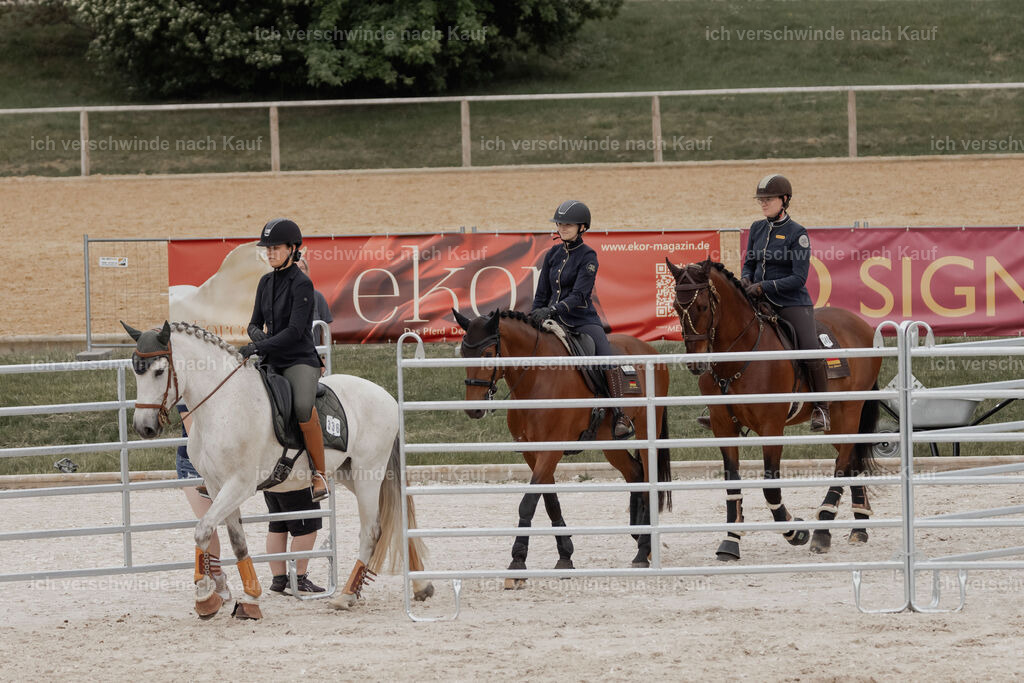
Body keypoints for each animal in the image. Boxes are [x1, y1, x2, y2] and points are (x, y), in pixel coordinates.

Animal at [123, 320, 433, 619]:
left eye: (159, 371)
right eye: (135, 372)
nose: (143, 427)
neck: (224, 404)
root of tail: (386, 396)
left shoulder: (239, 485)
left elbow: (203, 531)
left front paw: (205, 599)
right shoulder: (215, 485)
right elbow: (237, 542)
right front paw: (249, 600)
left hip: (369, 472)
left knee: (371, 530)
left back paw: (346, 597)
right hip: (351, 475)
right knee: (398, 516)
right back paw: (419, 585)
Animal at [453, 309, 671, 585]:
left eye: (488, 354)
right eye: (463, 353)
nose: (474, 409)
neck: (537, 379)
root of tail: (648, 348)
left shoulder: (551, 449)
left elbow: (528, 502)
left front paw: (517, 561)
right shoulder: (532, 453)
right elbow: (549, 501)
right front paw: (565, 556)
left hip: (645, 429)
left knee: (648, 479)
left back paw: (642, 551)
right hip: (609, 441)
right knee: (634, 473)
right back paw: (641, 538)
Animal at [665, 259, 881, 560]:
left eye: (703, 307)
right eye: (676, 306)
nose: (696, 364)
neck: (740, 357)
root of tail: (860, 324)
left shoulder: (771, 428)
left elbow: (770, 488)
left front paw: (796, 532)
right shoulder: (723, 426)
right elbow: (732, 484)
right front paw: (730, 542)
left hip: (849, 410)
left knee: (843, 464)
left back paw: (823, 529)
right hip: (836, 424)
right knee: (851, 460)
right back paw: (859, 526)